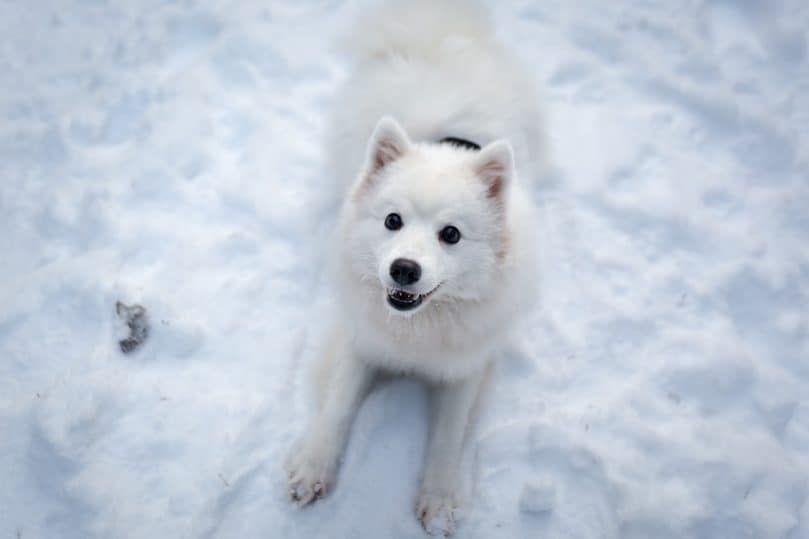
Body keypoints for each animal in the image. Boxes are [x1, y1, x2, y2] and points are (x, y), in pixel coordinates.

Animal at [284, 1, 544, 536]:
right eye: (392, 221)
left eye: (451, 234)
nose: (403, 269)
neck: (417, 328)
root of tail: (437, 32)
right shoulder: (360, 342)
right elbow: (336, 407)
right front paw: (312, 469)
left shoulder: (466, 367)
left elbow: (447, 436)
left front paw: (440, 501)